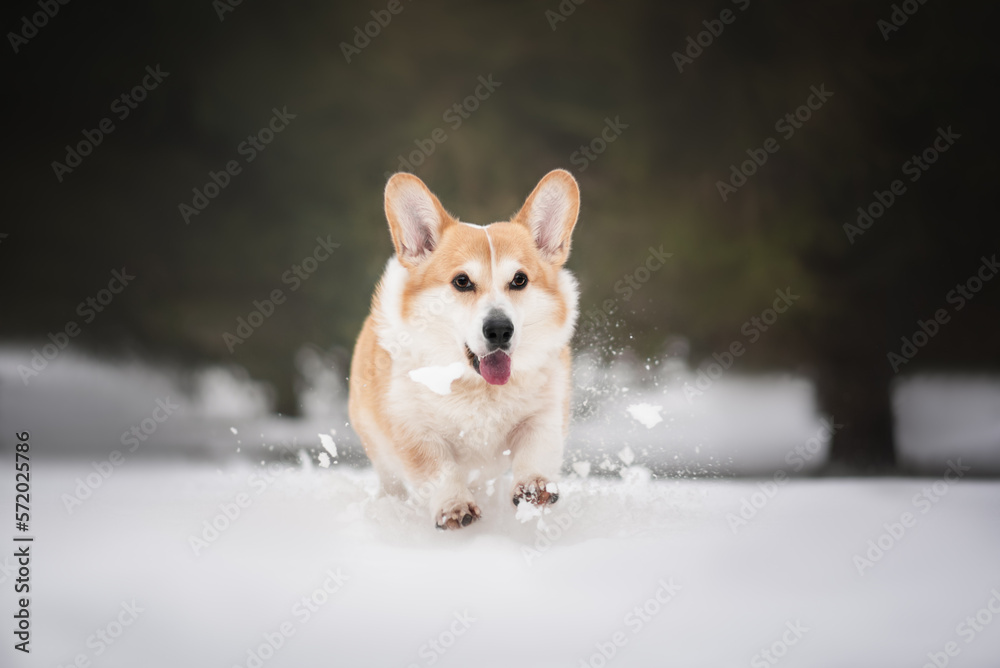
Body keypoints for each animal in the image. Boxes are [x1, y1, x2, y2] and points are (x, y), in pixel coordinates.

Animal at [348, 170, 584, 528]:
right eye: (462, 281)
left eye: (519, 280)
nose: (499, 330)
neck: (477, 387)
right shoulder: (414, 429)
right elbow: (439, 470)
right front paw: (454, 505)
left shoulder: (544, 414)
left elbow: (536, 449)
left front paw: (534, 486)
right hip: (378, 448)